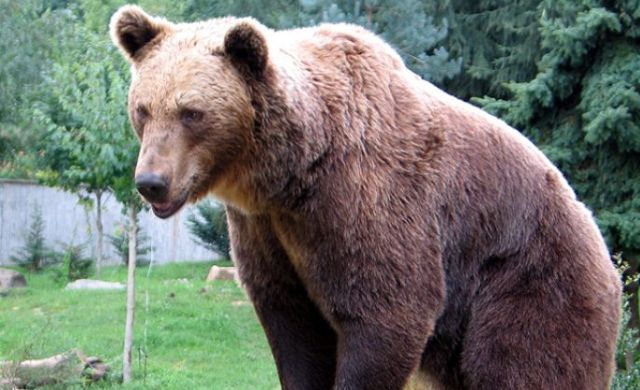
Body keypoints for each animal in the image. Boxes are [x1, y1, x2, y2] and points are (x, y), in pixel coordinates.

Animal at [110, 6, 620, 390]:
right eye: (143, 109)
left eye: (192, 112)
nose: (151, 181)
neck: (290, 172)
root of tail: (602, 246)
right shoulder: (267, 232)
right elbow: (293, 328)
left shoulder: (365, 201)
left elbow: (387, 312)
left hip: (527, 282)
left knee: (527, 364)